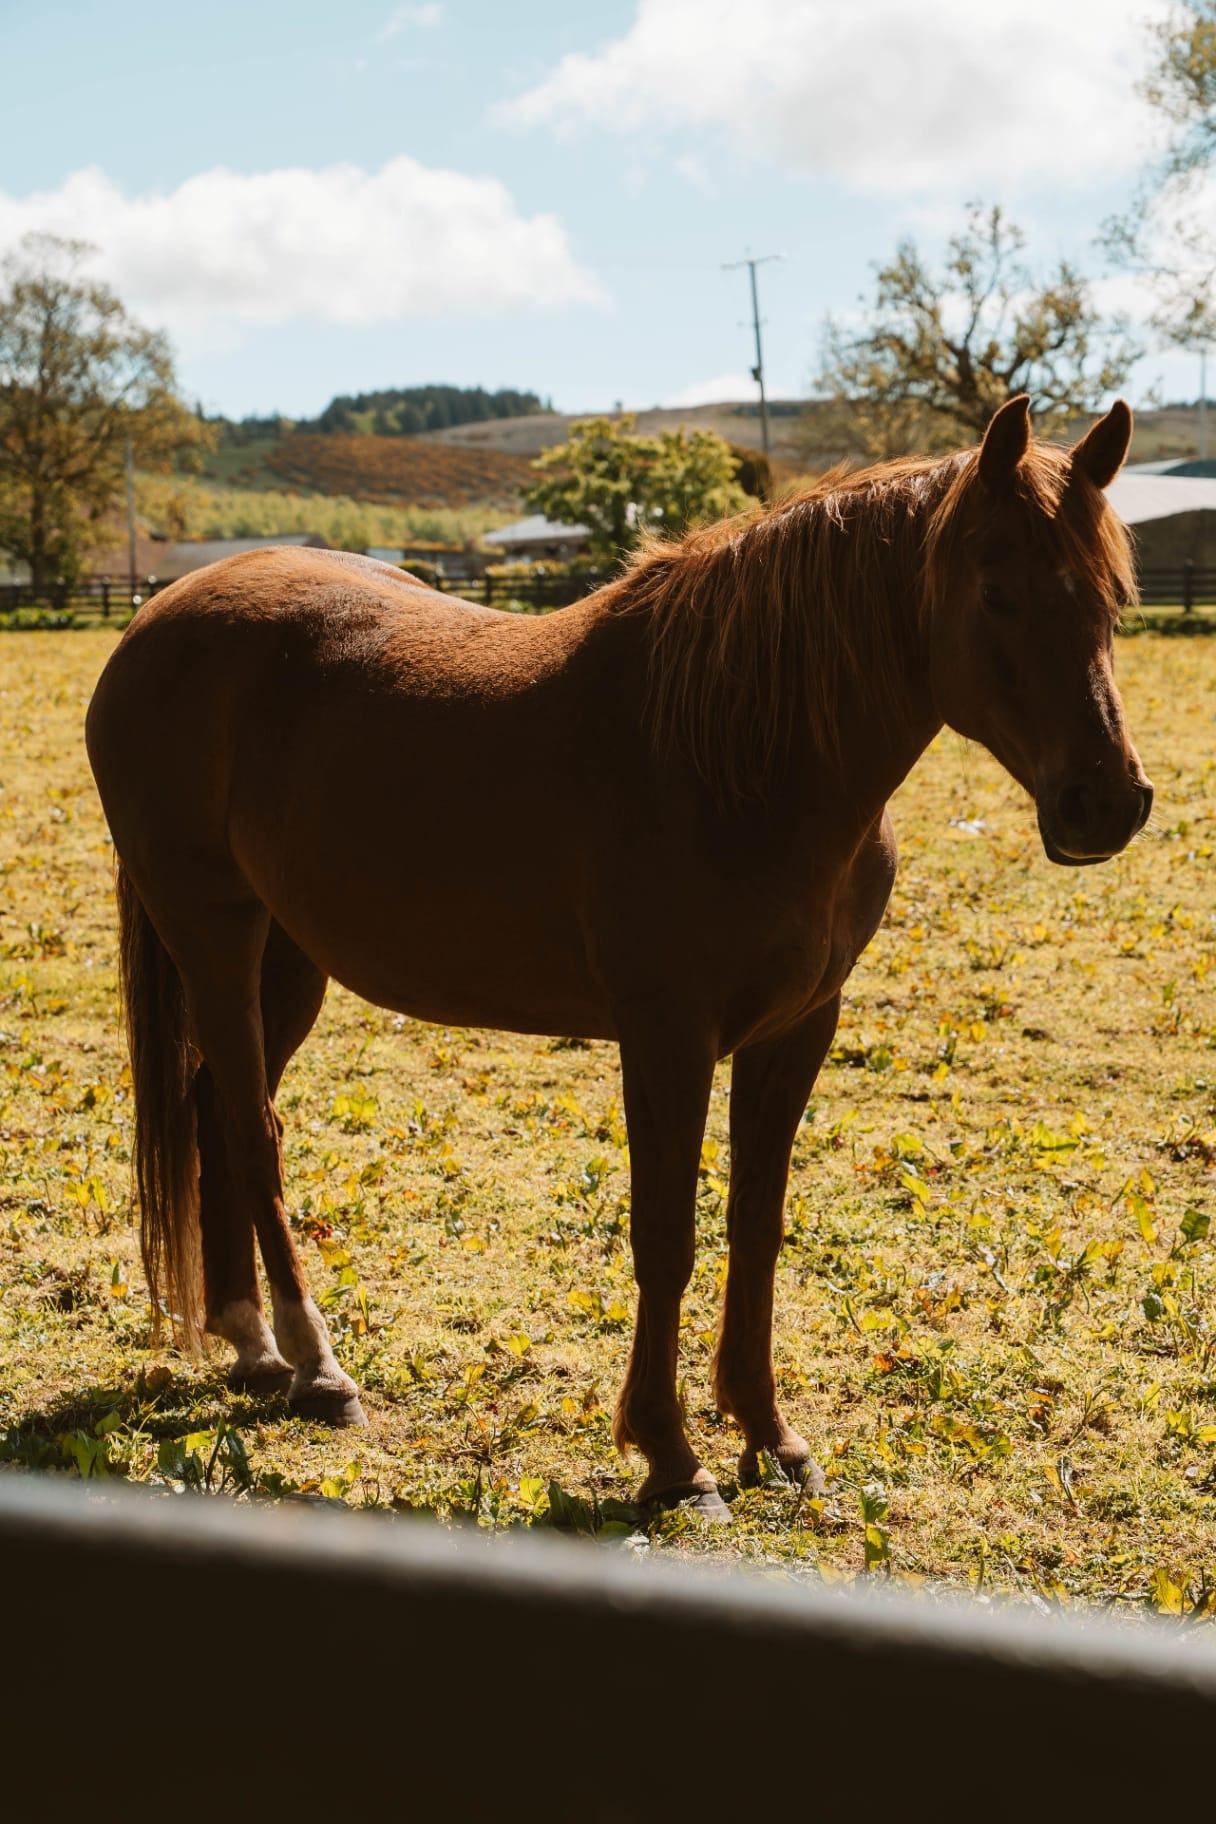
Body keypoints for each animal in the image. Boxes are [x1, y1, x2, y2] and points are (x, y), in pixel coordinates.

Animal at [85, 395, 1152, 1518]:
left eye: (1112, 597)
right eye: (996, 591)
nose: (1106, 803)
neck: (740, 755)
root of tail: (156, 623)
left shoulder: (795, 1031)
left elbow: (756, 1229)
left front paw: (771, 1438)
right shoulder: (666, 1035)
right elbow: (666, 1236)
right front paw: (671, 1456)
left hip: (288, 956)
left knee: (215, 1108)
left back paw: (253, 1347)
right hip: (212, 932)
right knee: (252, 1130)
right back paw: (318, 1366)